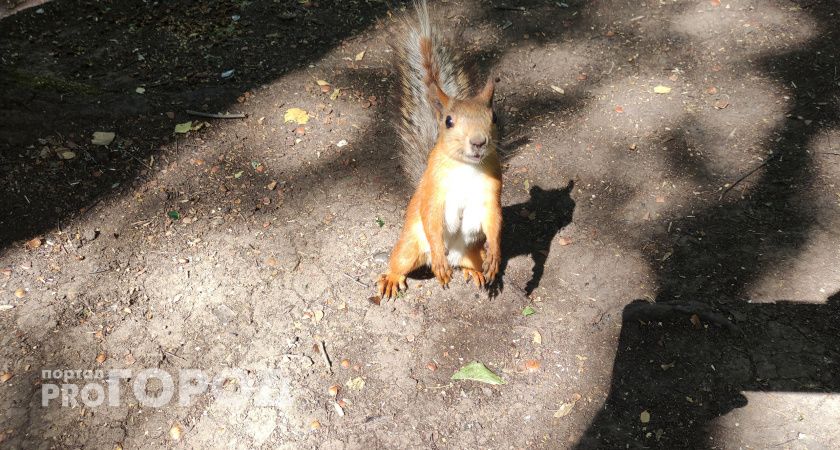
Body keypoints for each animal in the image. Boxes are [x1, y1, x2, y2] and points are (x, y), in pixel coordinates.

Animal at [378, 1, 502, 300]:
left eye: (494, 117)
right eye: (448, 121)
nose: (478, 142)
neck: (467, 168)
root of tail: (454, 255)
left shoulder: (491, 190)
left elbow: (494, 219)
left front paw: (495, 254)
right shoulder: (433, 189)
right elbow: (432, 216)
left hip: (471, 251)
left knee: (471, 262)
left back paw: (476, 271)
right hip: (410, 246)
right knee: (400, 261)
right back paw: (396, 277)